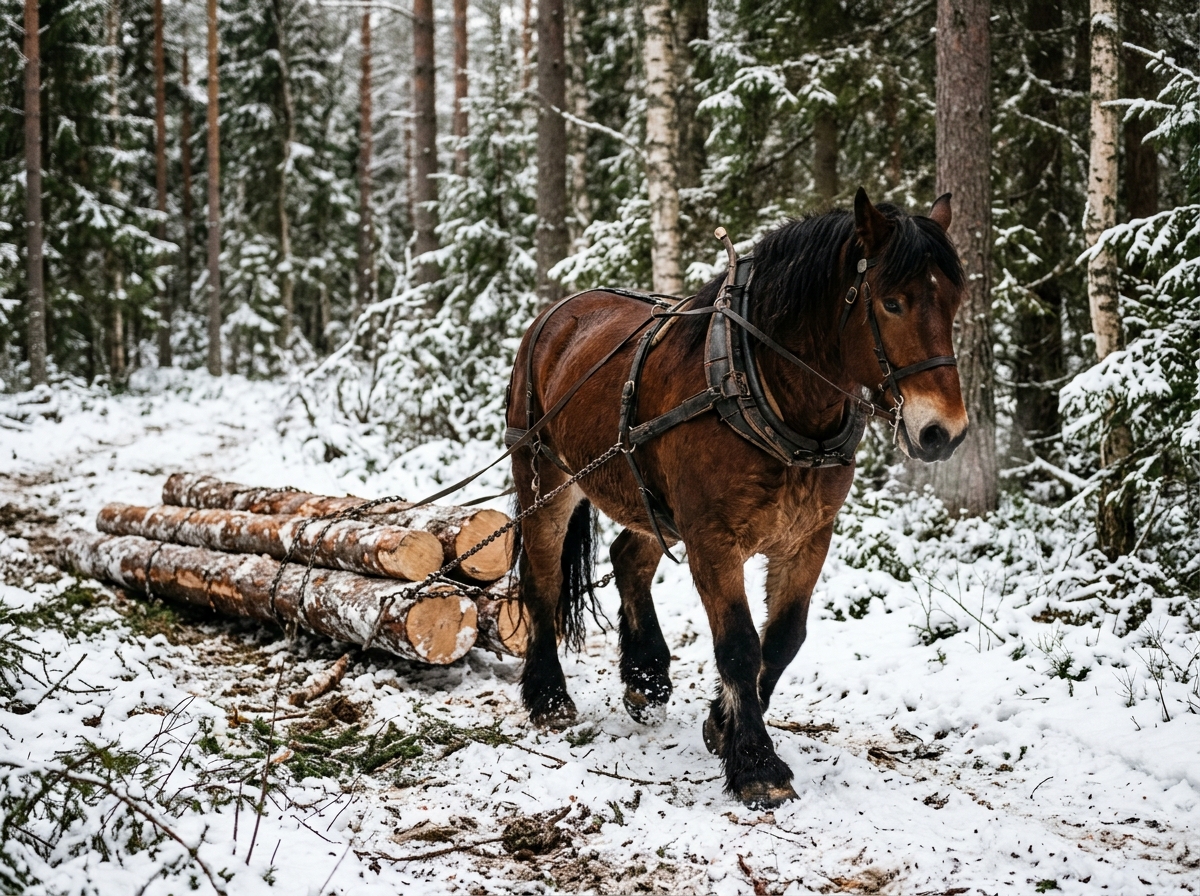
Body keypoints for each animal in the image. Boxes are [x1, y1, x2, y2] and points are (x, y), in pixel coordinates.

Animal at [505, 188, 968, 807]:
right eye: (892, 303)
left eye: (954, 301)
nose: (945, 432)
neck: (765, 388)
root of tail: (556, 315)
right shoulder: (712, 539)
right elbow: (740, 645)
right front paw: (755, 764)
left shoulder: (808, 535)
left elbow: (784, 640)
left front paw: (721, 726)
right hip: (543, 478)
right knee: (542, 582)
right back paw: (549, 697)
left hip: (648, 498)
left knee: (628, 560)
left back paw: (647, 680)